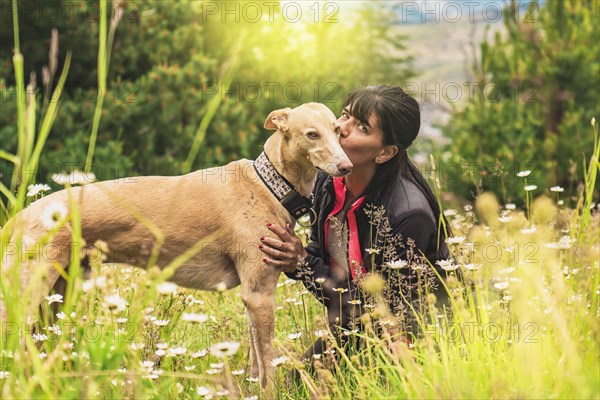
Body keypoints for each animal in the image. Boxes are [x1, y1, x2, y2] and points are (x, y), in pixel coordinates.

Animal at [1, 103, 352, 388]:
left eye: (338, 130)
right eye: (311, 134)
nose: (346, 167)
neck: (269, 185)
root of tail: (18, 216)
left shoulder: (255, 297)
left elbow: (256, 365)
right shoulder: (259, 294)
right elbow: (268, 365)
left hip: (56, 300)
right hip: (25, 297)